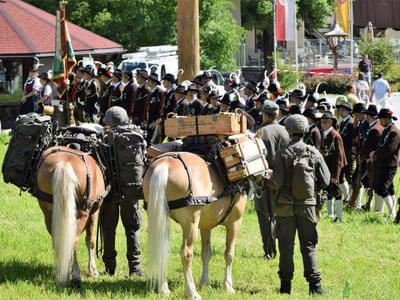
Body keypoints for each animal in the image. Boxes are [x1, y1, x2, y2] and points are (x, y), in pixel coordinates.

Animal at [34, 146, 108, 288]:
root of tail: (64, 163)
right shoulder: (94, 212)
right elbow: (90, 241)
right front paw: (93, 270)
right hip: (83, 213)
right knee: (73, 240)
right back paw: (76, 276)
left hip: (48, 211)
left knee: (57, 239)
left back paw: (60, 272)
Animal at [144, 152, 248, 300]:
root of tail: (164, 164)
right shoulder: (235, 222)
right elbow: (229, 254)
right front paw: (228, 286)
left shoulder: (205, 226)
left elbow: (206, 253)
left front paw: (205, 283)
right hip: (190, 224)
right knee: (186, 254)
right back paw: (191, 292)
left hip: (160, 217)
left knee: (161, 248)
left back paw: (164, 289)